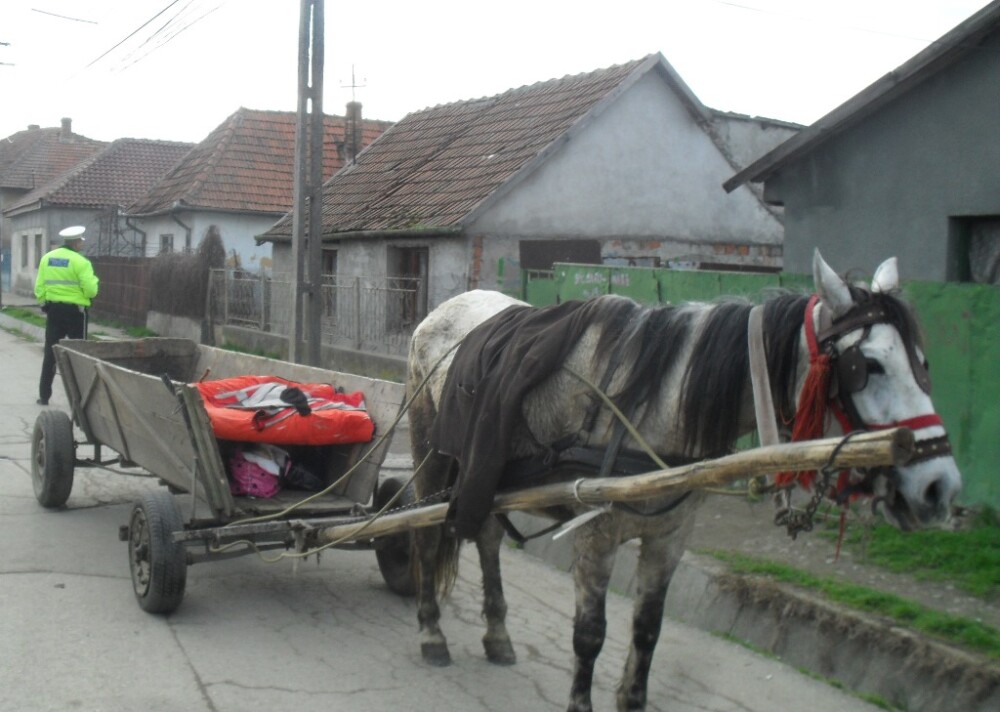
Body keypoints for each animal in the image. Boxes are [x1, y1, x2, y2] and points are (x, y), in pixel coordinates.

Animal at [404, 250, 960, 712]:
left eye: (922, 363)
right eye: (868, 366)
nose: (940, 488)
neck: (655, 400)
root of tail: (443, 309)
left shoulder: (669, 538)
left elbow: (647, 631)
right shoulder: (596, 536)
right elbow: (590, 635)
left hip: (486, 475)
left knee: (487, 537)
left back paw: (497, 634)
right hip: (433, 454)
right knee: (426, 536)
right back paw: (431, 634)